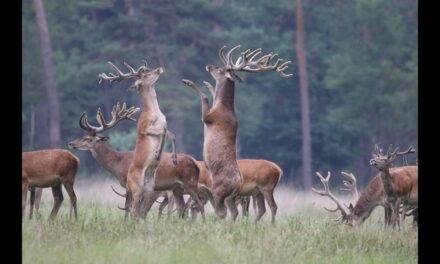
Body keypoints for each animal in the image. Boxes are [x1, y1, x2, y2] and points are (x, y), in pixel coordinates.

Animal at [68, 103, 205, 221]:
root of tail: (195, 164)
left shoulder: (129, 184)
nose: (71, 143)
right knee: (183, 208)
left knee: (197, 204)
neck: (118, 164)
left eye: (87, 138)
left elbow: (129, 207)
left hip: (189, 183)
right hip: (177, 188)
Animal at [99, 60, 176, 219]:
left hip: (149, 189)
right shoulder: (144, 128)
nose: (159, 69)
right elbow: (163, 132)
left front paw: (168, 156)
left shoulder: (164, 125)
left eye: (147, 70)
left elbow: (170, 133)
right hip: (137, 188)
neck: (155, 112)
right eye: (145, 75)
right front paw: (158, 153)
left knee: (139, 210)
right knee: (134, 210)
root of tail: (128, 181)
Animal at [182, 45, 292, 219]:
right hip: (236, 196)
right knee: (234, 211)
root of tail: (237, 184)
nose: (209, 65)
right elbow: (210, 93)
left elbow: (205, 98)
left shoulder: (209, 117)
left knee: (222, 212)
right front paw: (209, 84)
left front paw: (189, 81)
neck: (223, 107)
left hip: (219, 190)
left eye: (220, 68)